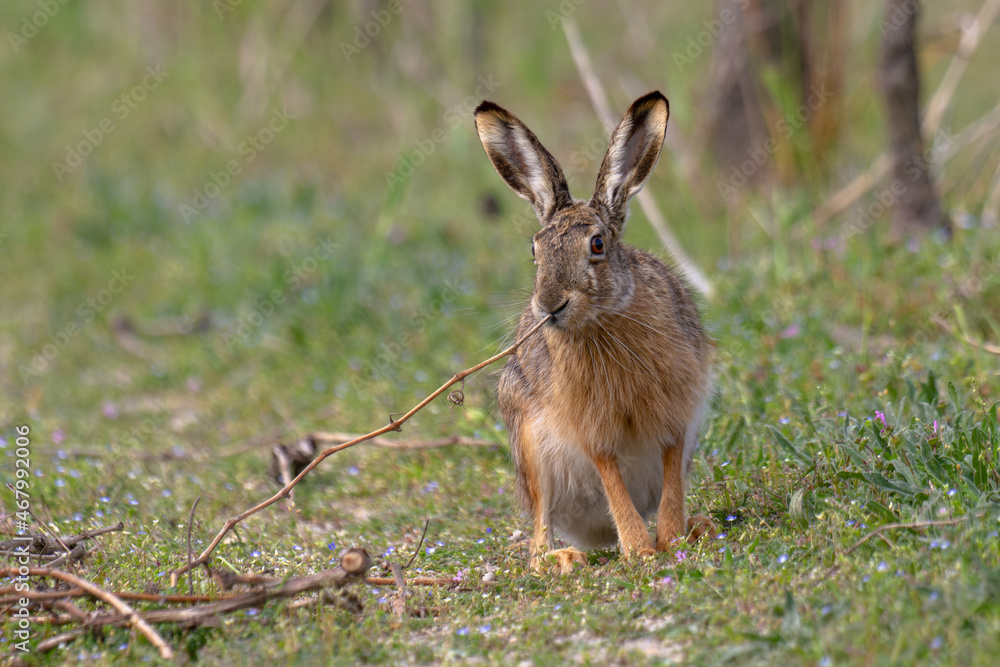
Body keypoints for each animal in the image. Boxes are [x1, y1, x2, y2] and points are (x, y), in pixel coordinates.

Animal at [474, 91, 716, 572]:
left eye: (598, 244)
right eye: (535, 251)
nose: (550, 305)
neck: (604, 322)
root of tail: (589, 532)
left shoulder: (676, 414)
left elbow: (671, 465)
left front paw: (671, 538)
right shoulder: (591, 428)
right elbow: (609, 472)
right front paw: (639, 549)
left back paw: (698, 526)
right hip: (530, 449)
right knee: (536, 538)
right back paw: (564, 558)